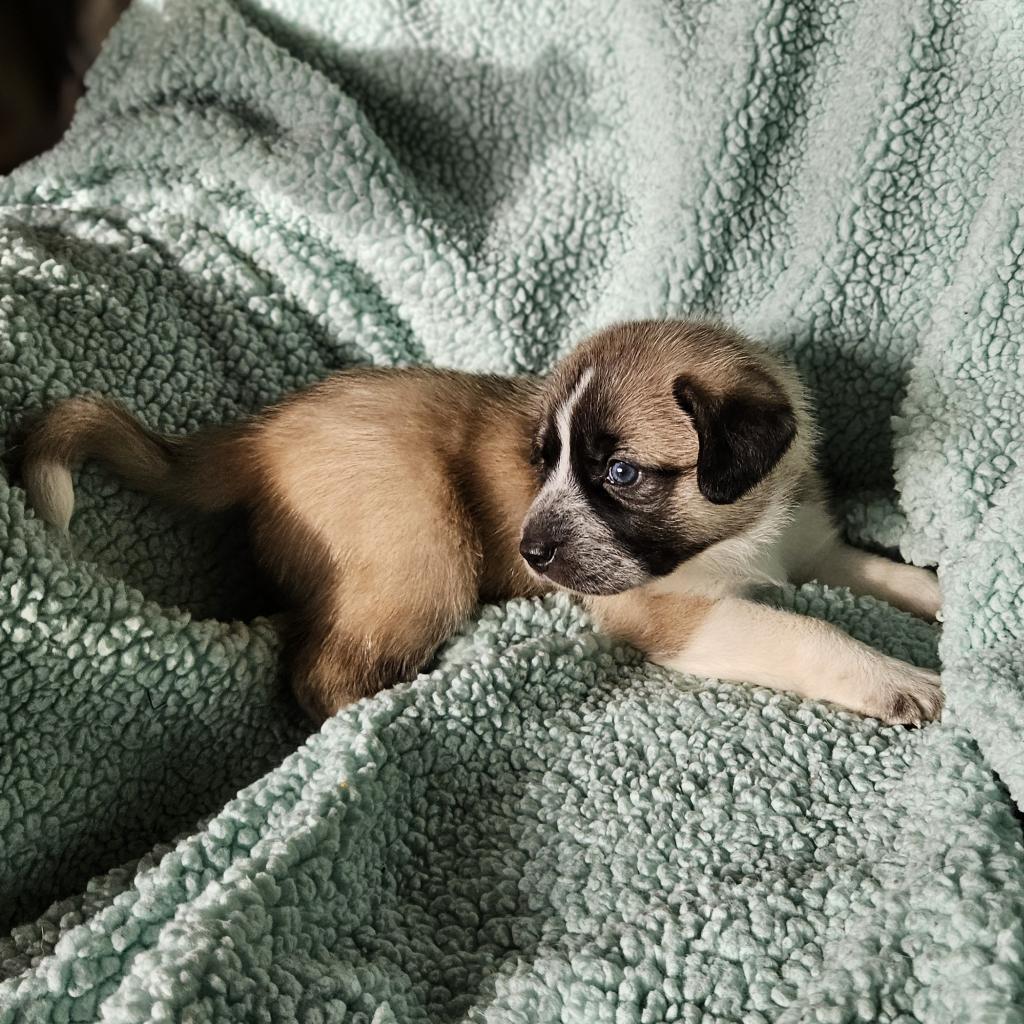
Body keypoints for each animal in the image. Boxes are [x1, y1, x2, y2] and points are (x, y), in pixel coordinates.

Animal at [19, 319, 942, 729]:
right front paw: (899, 679)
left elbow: (883, 573)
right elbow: (806, 632)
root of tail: (257, 435)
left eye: (620, 473)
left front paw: (940, 596)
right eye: (542, 459)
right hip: (426, 555)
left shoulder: (812, 544)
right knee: (322, 675)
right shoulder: (674, 611)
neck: (741, 530)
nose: (531, 551)